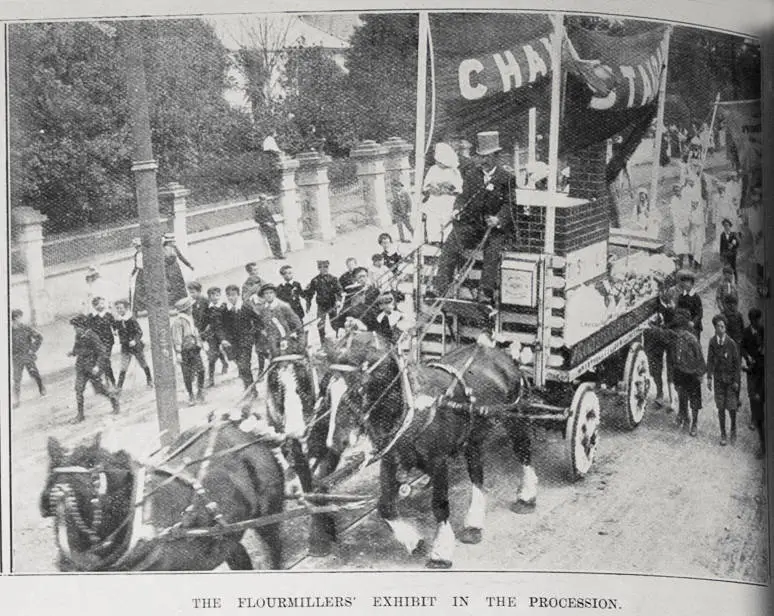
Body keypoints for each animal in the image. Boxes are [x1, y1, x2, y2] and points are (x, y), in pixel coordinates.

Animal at [38, 424, 284, 572]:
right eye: (51, 476)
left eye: (94, 475)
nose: (66, 563)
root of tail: (241, 433)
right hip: (227, 535)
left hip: (269, 517)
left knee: (274, 548)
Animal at [324, 332, 536, 568]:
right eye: (328, 392)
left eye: (357, 390)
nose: (335, 442)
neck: (414, 408)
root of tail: (498, 352)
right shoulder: (391, 460)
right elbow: (385, 506)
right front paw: (415, 543)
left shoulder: (438, 462)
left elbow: (439, 505)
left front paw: (440, 553)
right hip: (472, 436)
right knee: (476, 474)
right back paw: (473, 525)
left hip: (515, 418)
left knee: (524, 453)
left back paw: (526, 497)